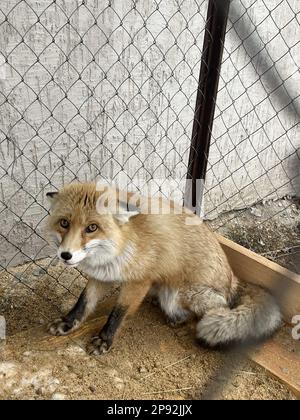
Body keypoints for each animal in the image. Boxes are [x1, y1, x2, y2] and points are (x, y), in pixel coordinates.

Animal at [45, 183, 282, 354]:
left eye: (92, 227)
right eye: (64, 223)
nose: (66, 255)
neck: (122, 245)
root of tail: (233, 281)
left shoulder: (139, 281)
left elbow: (118, 314)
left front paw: (104, 340)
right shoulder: (102, 275)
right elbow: (83, 302)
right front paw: (68, 323)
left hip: (183, 295)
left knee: (219, 308)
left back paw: (179, 318)